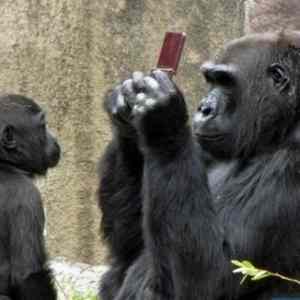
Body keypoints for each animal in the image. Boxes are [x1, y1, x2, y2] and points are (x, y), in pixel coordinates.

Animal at [98, 29, 300, 298]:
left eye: (225, 82)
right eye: (211, 80)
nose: (204, 108)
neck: (282, 128)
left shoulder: (293, 165)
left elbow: (213, 277)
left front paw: (161, 118)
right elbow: (130, 246)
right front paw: (126, 116)